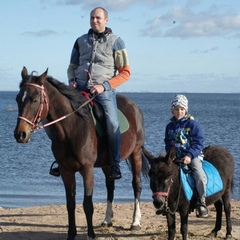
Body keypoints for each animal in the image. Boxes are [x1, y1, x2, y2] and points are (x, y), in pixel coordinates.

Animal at [14, 67, 149, 240]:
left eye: (35, 99)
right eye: (18, 98)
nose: (20, 134)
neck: (73, 128)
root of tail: (134, 106)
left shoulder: (87, 169)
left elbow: (87, 204)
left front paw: (91, 235)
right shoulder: (66, 170)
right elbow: (70, 204)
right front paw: (71, 234)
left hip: (136, 153)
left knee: (136, 185)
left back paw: (135, 222)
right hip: (107, 164)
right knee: (110, 186)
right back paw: (107, 220)